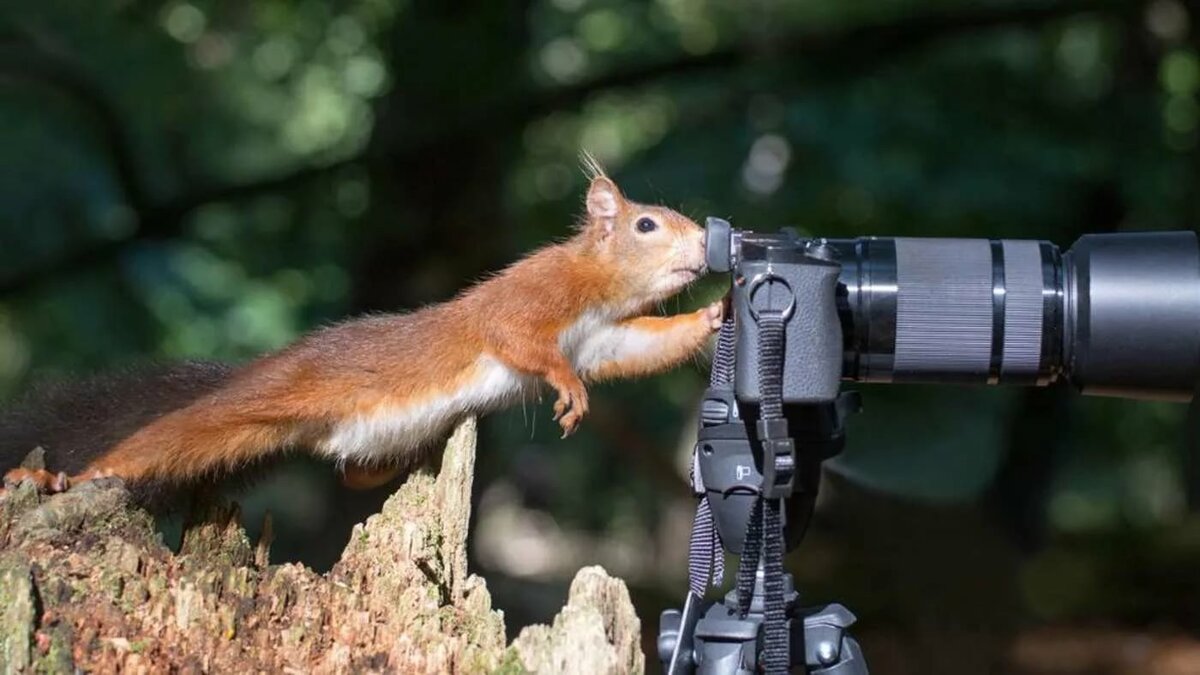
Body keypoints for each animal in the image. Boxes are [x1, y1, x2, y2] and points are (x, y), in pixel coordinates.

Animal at [2, 165, 724, 499]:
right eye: (646, 226)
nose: (704, 246)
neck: (596, 287)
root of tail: (273, 362)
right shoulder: (529, 295)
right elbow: (516, 337)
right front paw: (566, 386)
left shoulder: (605, 338)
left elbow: (644, 347)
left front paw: (715, 314)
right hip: (257, 403)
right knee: (163, 440)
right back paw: (64, 477)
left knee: (352, 477)